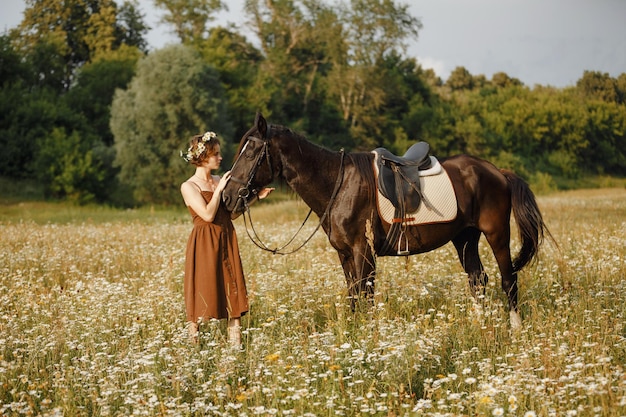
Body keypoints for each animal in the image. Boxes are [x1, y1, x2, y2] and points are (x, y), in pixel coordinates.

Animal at [221, 114, 552, 328]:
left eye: (251, 152)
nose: (227, 197)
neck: (338, 184)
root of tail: (497, 171)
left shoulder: (363, 252)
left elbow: (365, 297)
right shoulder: (345, 255)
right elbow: (354, 297)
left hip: (497, 234)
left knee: (508, 279)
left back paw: (514, 329)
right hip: (465, 238)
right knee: (478, 279)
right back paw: (479, 324)